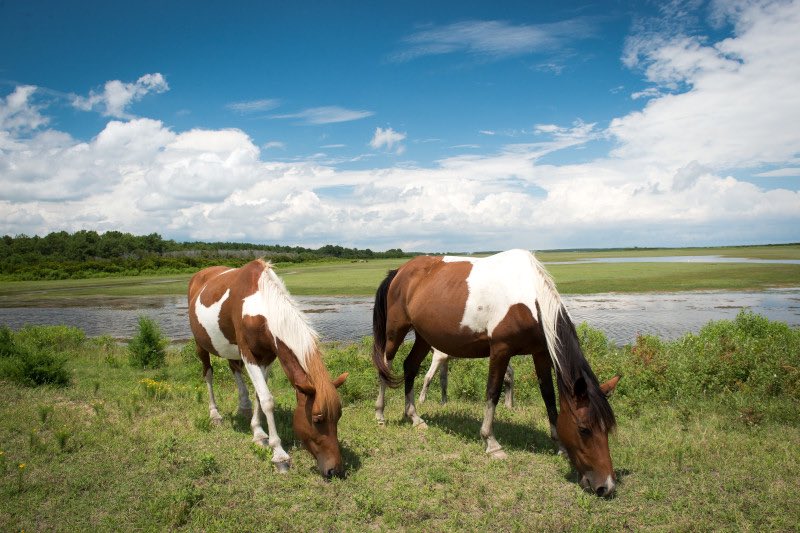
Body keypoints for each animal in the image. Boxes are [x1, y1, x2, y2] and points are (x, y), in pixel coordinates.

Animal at [191, 258, 350, 478]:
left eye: (339, 416)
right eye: (317, 419)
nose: (335, 470)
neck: (260, 306)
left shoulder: (266, 357)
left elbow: (260, 395)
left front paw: (258, 432)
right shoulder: (248, 354)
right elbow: (267, 400)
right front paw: (279, 454)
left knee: (234, 369)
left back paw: (243, 406)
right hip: (201, 345)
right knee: (208, 375)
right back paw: (215, 414)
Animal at [372, 249, 620, 494]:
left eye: (607, 429)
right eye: (584, 429)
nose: (605, 486)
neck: (529, 299)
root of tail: (399, 271)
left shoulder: (540, 352)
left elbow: (548, 396)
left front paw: (559, 445)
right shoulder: (501, 350)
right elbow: (493, 392)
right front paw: (491, 444)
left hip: (424, 337)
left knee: (410, 367)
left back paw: (414, 417)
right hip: (396, 331)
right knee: (385, 366)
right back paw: (380, 414)